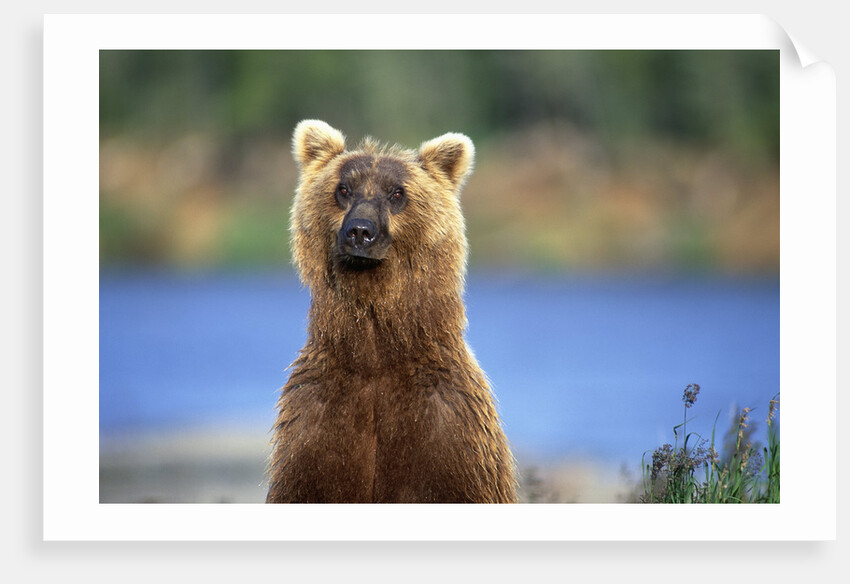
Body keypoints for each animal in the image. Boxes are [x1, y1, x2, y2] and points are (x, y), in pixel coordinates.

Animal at [266, 120, 518, 503]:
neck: (375, 355)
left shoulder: (448, 431)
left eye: (397, 193)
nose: (360, 231)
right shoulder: (317, 425)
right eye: (343, 189)